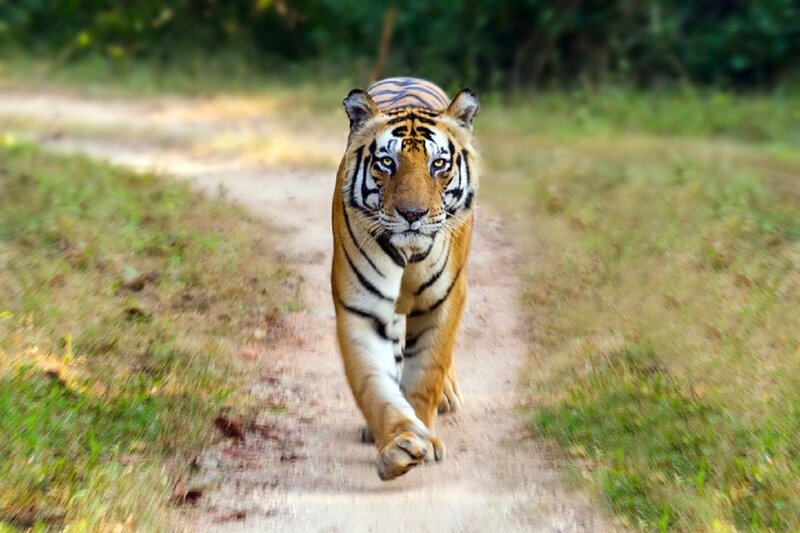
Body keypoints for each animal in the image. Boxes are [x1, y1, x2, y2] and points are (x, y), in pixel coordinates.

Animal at [331, 77, 480, 480]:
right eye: (387, 162)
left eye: (438, 164)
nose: (412, 214)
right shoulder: (362, 308)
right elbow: (373, 382)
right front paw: (399, 443)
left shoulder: (445, 300)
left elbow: (427, 371)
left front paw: (424, 435)